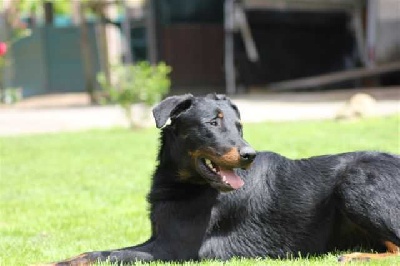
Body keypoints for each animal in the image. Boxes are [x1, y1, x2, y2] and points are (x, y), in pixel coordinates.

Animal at [46, 94, 396, 264]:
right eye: (213, 123)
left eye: (239, 126)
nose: (249, 154)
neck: (185, 182)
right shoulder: (159, 238)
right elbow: (96, 251)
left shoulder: (173, 250)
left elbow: (103, 254)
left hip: (355, 181)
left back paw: (356, 256)